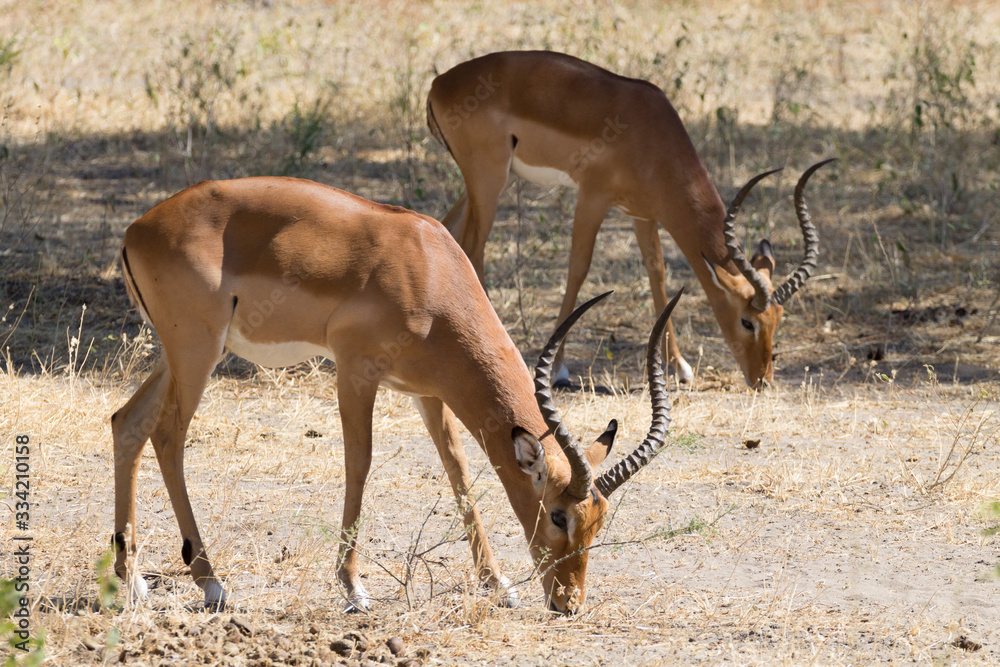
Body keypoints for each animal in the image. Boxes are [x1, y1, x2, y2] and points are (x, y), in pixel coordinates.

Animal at [111, 177, 679, 614]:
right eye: (560, 515)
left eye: (598, 522)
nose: (568, 603)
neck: (429, 269)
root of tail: (137, 229)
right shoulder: (355, 373)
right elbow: (359, 464)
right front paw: (354, 589)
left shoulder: (429, 393)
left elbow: (458, 471)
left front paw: (498, 586)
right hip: (197, 352)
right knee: (168, 435)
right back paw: (212, 585)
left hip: (180, 356)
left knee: (127, 423)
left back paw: (132, 580)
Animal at [427, 50, 834, 387]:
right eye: (747, 321)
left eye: (778, 320)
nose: (762, 380)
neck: (648, 131)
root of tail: (439, 83)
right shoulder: (592, 197)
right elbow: (578, 269)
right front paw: (558, 370)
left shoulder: (644, 214)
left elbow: (658, 276)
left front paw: (681, 368)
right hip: (489, 181)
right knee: (473, 248)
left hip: (494, 181)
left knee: (447, 230)